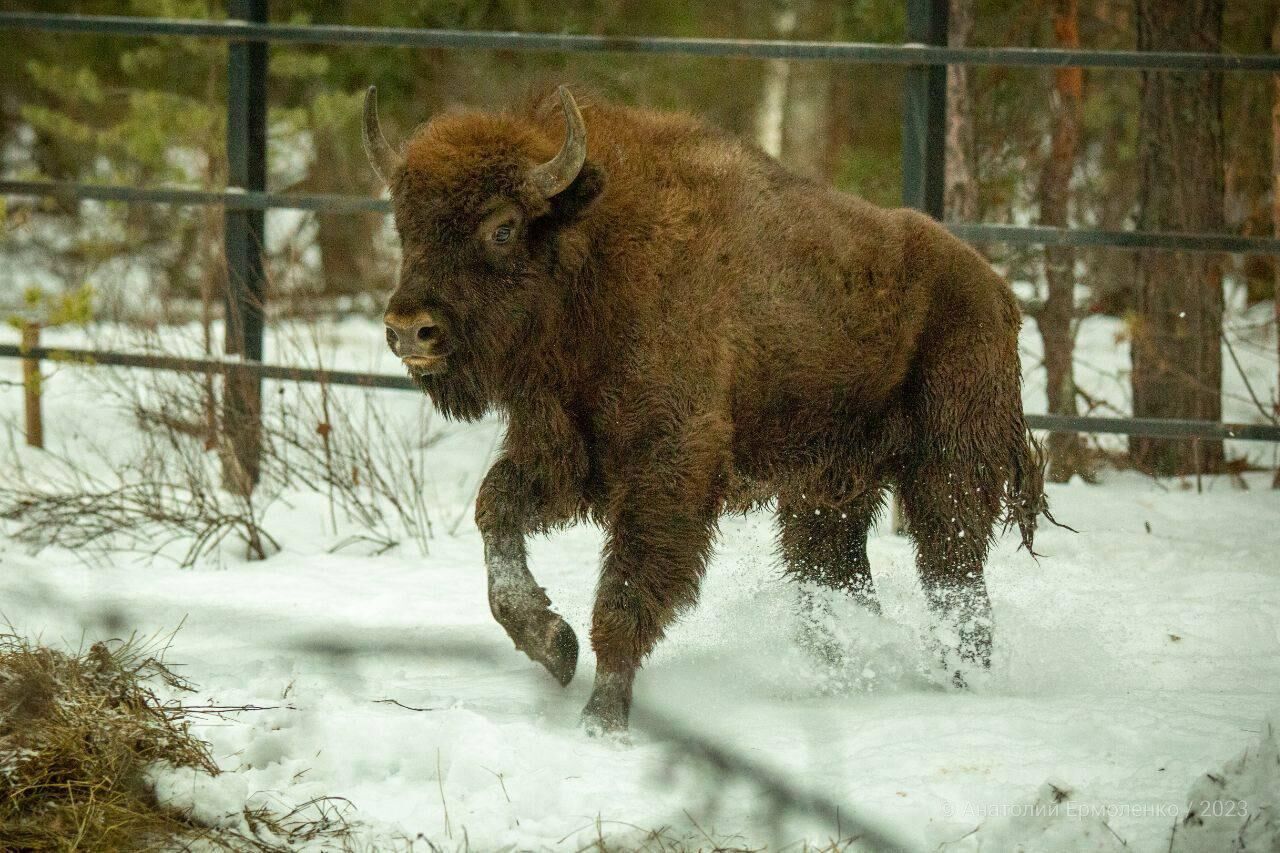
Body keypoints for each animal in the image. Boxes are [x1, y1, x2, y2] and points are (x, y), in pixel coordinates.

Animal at [363, 84, 1049, 732]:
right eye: (404, 225)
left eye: (502, 227)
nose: (408, 330)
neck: (595, 252)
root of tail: (997, 291)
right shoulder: (563, 453)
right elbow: (497, 510)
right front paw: (552, 645)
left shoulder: (668, 468)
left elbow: (627, 590)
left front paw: (602, 720)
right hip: (827, 494)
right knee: (839, 578)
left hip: (947, 474)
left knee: (953, 577)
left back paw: (961, 681)